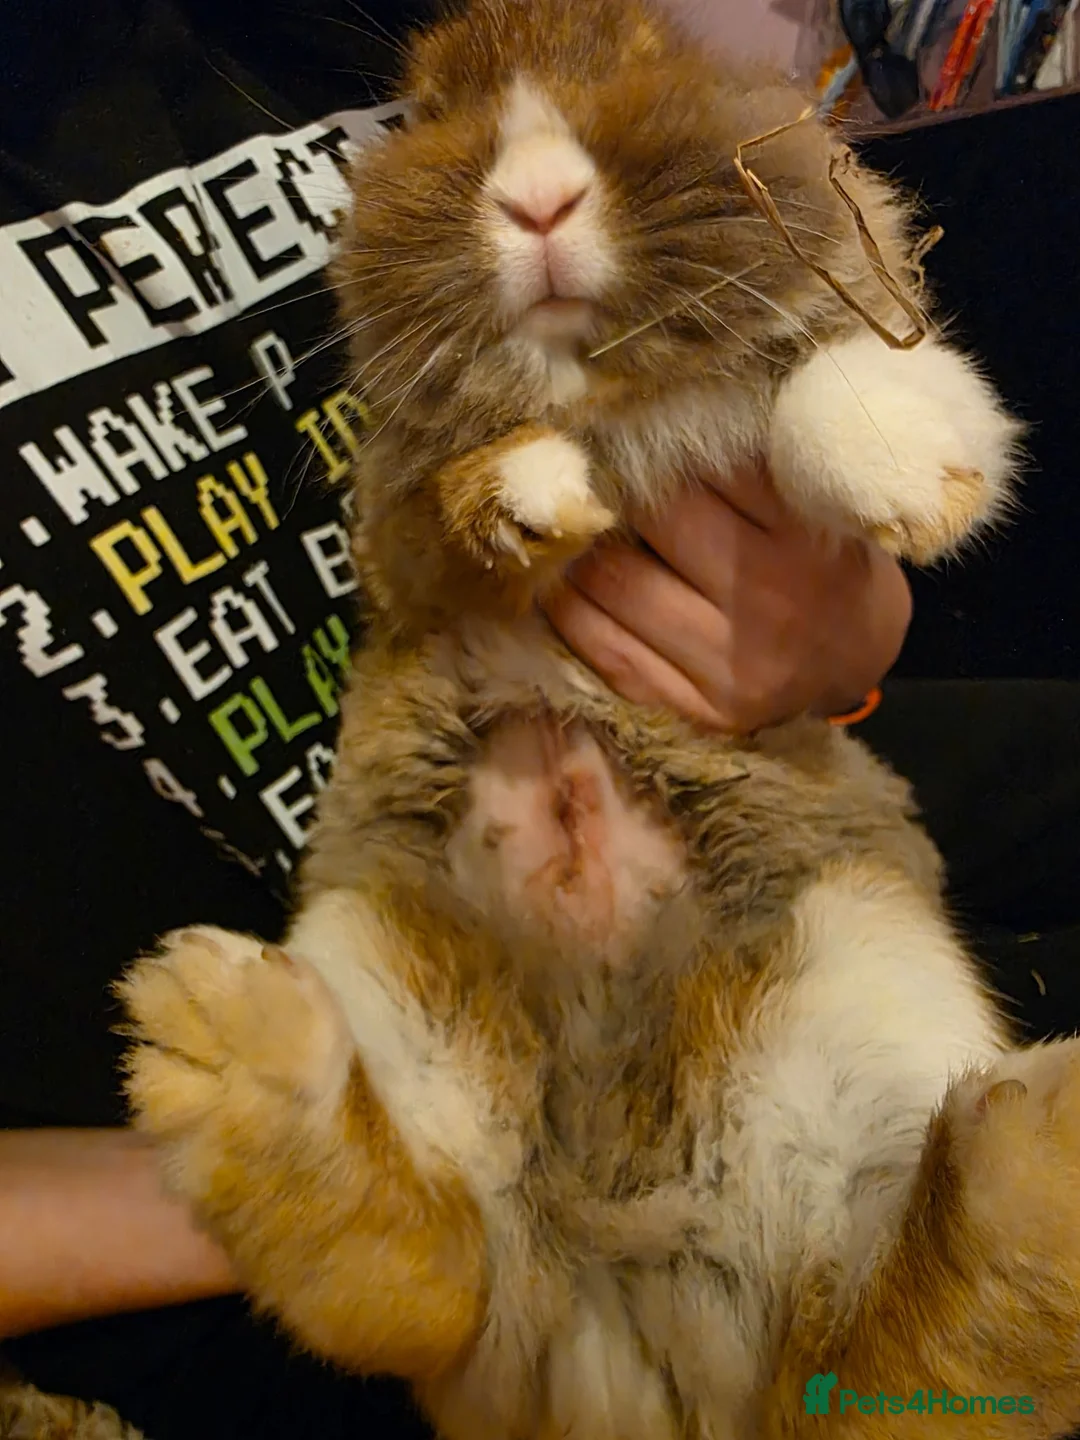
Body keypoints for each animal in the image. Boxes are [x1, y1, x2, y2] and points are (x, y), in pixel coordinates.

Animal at [120, 2, 1080, 1437]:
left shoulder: (868, 333)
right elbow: (459, 507)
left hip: (861, 981)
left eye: (649, 54)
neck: (607, 397)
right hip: (377, 951)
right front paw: (535, 495)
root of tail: (613, 1297)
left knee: (886, 1358)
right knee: (424, 1268)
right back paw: (227, 1038)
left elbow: (841, 383)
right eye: (425, 110)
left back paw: (1036, 1151)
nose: (536, 199)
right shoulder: (397, 538)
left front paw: (911, 481)